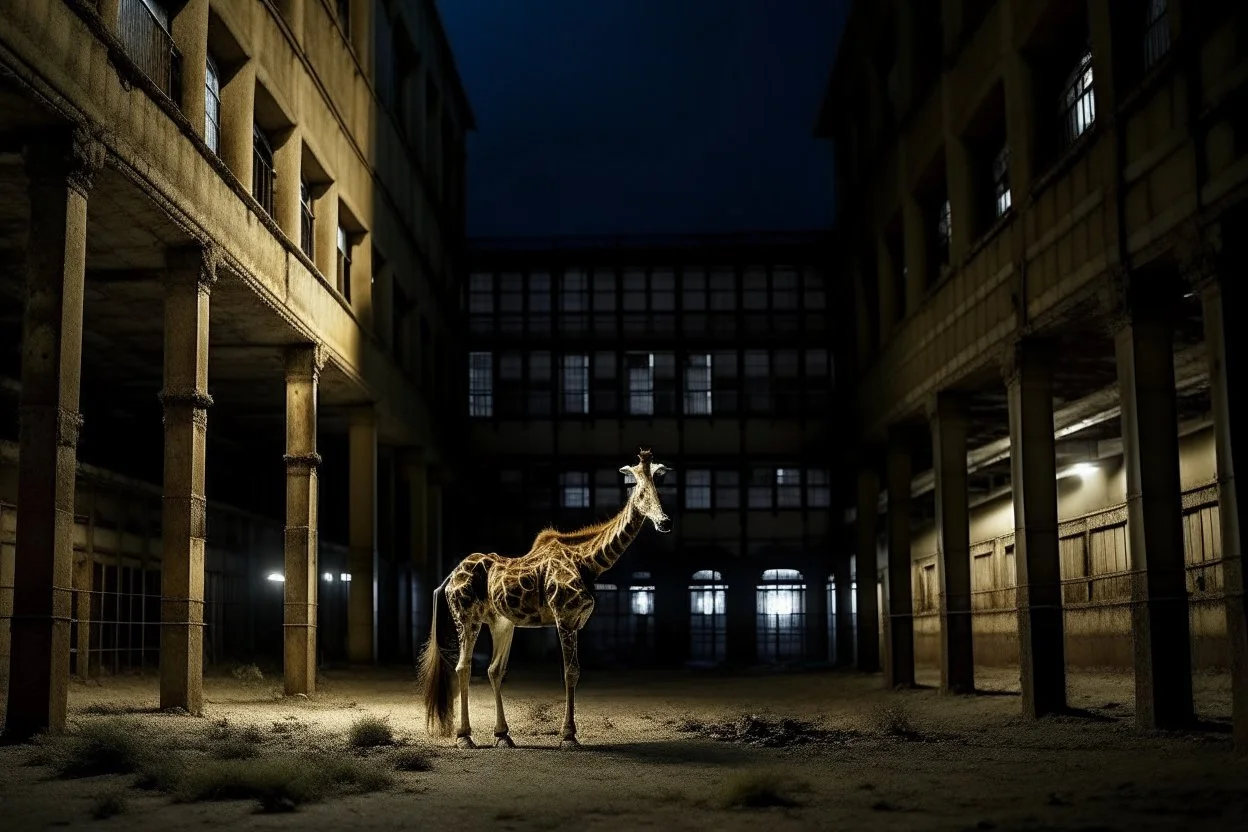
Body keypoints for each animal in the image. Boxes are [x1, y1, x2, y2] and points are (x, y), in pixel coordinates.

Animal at [419, 449, 673, 748]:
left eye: (659, 490)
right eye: (642, 493)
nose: (665, 522)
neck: (588, 562)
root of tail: (449, 577)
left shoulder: (575, 621)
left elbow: (571, 672)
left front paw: (566, 734)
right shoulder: (564, 617)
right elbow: (570, 672)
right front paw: (569, 736)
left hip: (502, 622)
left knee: (494, 669)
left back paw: (503, 735)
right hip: (466, 618)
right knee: (463, 667)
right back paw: (464, 737)